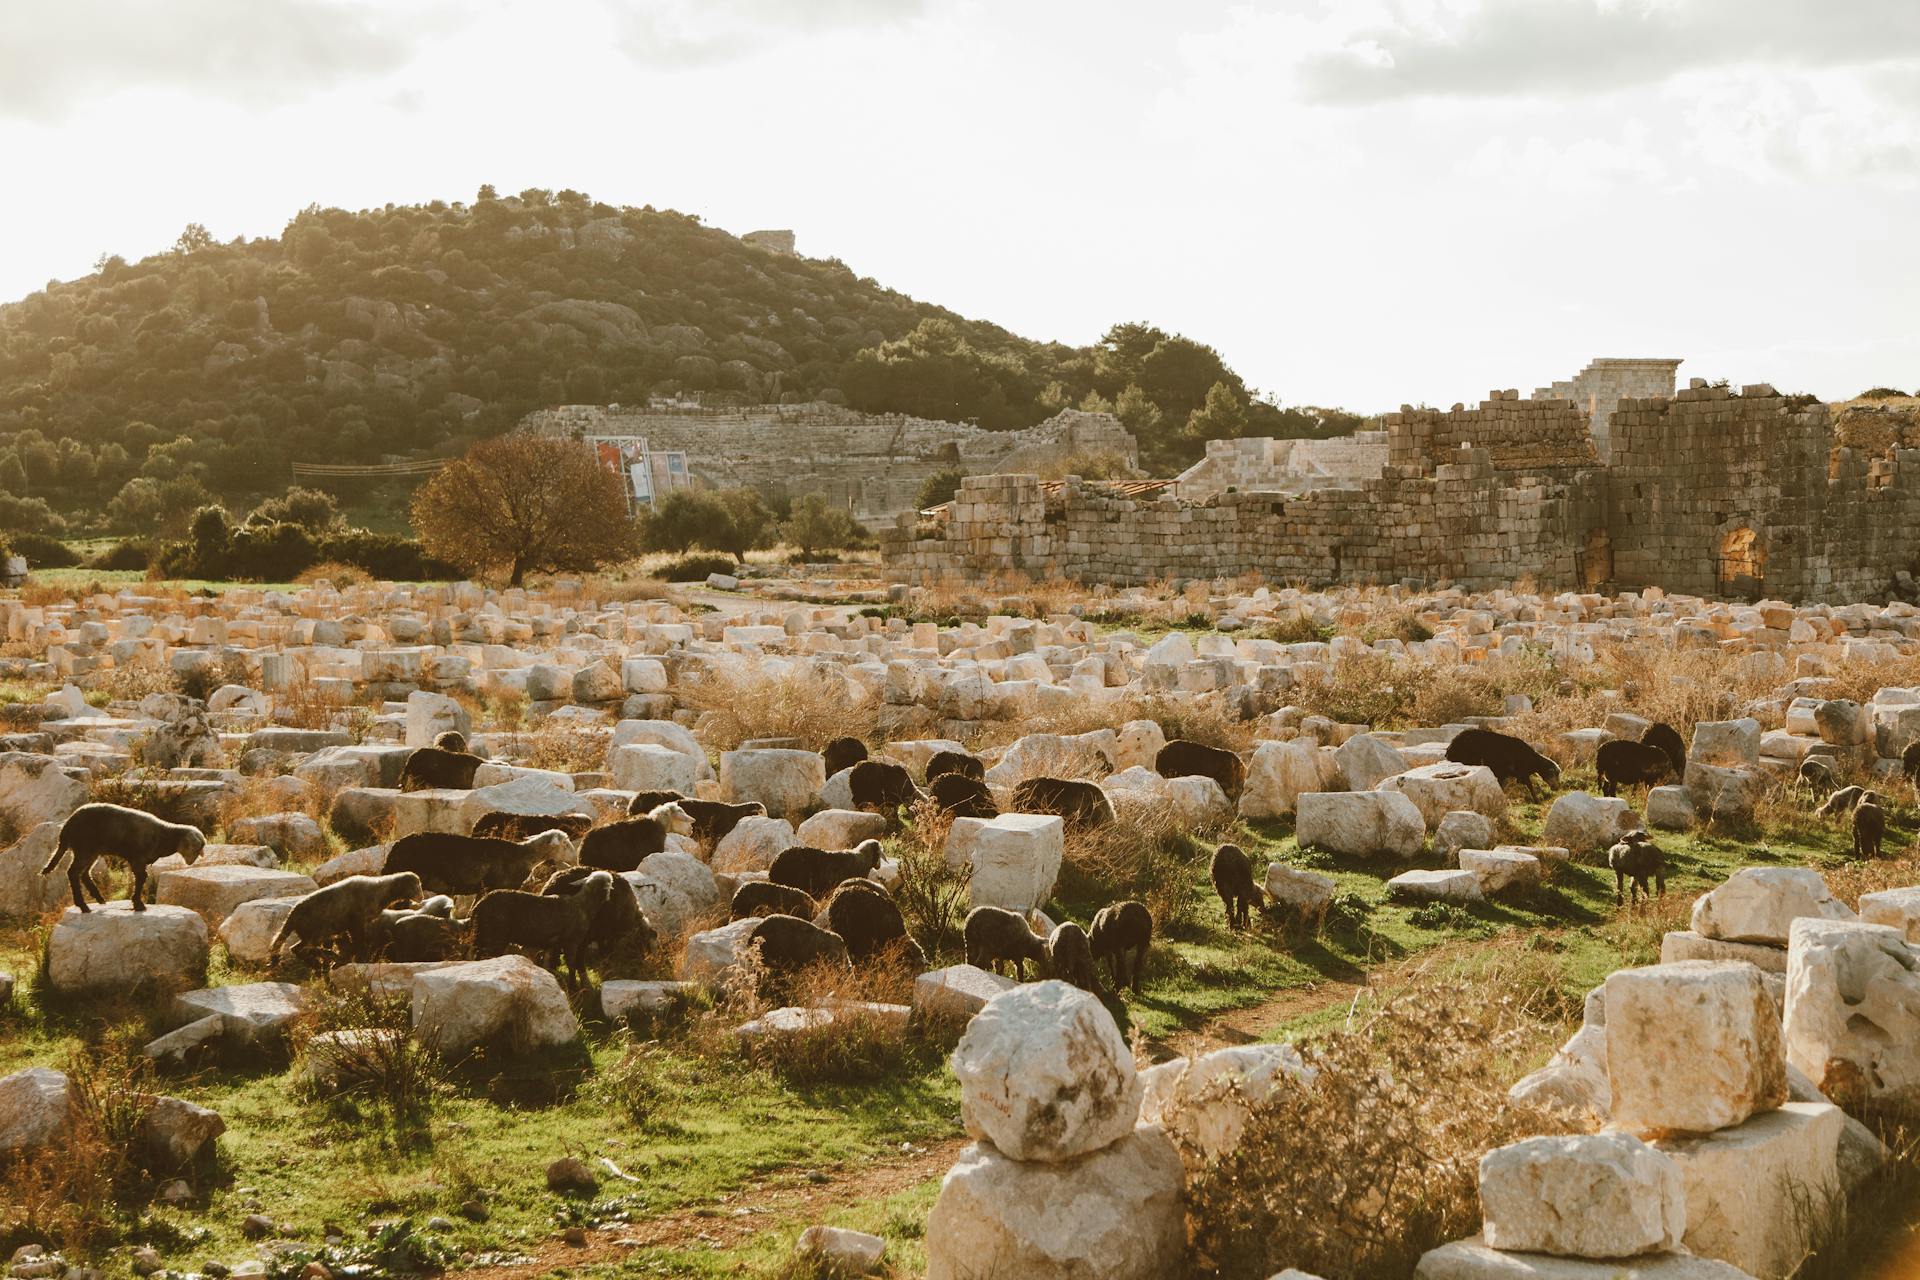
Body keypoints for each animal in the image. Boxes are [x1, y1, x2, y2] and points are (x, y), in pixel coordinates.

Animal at [40, 802, 206, 909]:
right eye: (194, 848)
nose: (190, 863)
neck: (163, 835)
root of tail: (66, 829)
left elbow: (140, 878)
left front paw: (137, 902)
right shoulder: (137, 858)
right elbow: (141, 878)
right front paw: (138, 904)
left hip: (92, 851)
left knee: (84, 874)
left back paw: (100, 899)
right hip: (84, 849)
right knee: (73, 873)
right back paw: (83, 905)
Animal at [270, 875, 428, 967]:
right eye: (416, 886)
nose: (421, 897)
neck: (380, 891)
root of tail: (292, 914)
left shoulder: (353, 925)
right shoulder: (356, 921)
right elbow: (359, 941)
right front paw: (360, 956)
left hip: (312, 934)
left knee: (297, 949)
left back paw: (320, 960)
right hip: (314, 933)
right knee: (298, 949)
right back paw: (326, 956)